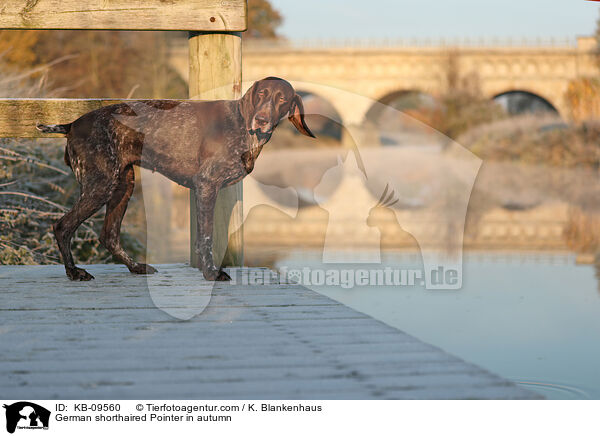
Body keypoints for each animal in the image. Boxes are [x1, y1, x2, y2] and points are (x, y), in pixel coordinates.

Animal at [37, 77, 316, 282]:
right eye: (261, 94)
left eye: (282, 99)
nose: (261, 119)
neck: (242, 128)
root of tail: (72, 124)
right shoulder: (207, 186)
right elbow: (206, 237)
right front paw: (211, 273)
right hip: (100, 186)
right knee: (62, 226)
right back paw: (74, 272)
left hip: (123, 185)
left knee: (109, 236)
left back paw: (136, 267)